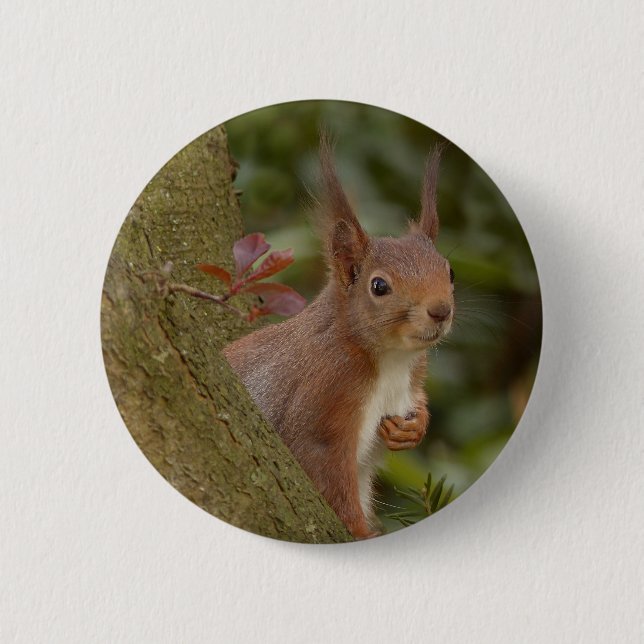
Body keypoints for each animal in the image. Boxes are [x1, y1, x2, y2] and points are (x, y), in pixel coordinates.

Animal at [224, 135, 455, 539]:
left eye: (451, 272)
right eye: (379, 286)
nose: (441, 310)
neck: (391, 359)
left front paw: (412, 428)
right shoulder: (326, 391)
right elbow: (323, 469)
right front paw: (360, 534)